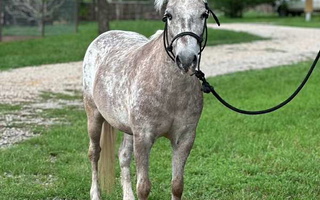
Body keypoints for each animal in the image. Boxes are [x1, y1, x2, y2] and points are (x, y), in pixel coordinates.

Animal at [82, 0, 210, 198]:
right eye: (168, 15)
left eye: (204, 14)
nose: (186, 59)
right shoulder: (143, 138)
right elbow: (143, 187)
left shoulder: (184, 139)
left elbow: (177, 185)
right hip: (94, 117)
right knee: (94, 153)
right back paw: (95, 194)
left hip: (127, 129)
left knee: (123, 156)